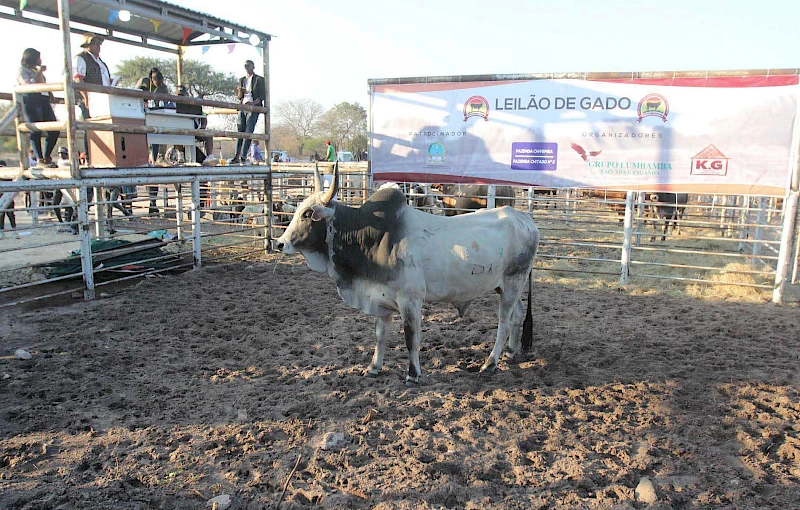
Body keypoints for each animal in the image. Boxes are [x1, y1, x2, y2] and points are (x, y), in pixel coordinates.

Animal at [276, 165, 544, 384]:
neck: (372, 238)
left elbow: (410, 337)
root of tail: (525, 218)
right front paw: (374, 367)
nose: (280, 244)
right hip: (507, 286)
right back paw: (511, 352)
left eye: (307, 214)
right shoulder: (380, 298)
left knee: (504, 322)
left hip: (513, 282)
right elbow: (380, 335)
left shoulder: (410, 300)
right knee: (518, 314)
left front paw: (413, 374)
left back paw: (490, 363)